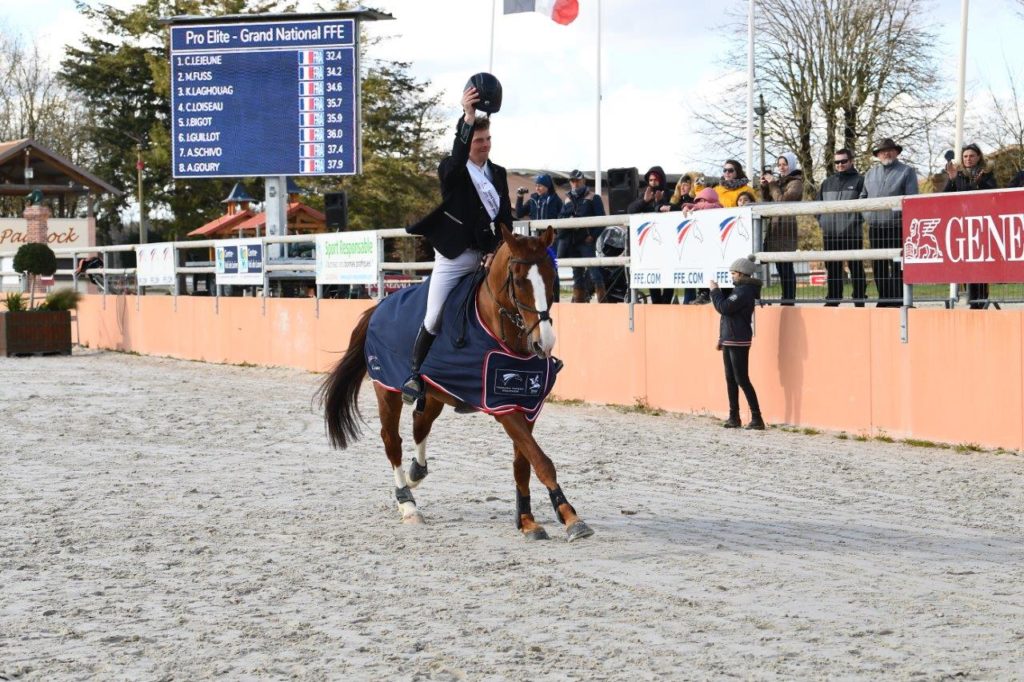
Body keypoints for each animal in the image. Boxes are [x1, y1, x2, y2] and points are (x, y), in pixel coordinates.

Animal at [319, 225, 593, 540]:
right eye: (518, 280)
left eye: (551, 276)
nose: (543, 343)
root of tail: (378, 308)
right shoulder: (503, 407)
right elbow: (540, 460)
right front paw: (570, 517)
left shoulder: (526, 406)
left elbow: (524, 463)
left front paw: (527, 521)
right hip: (386, 390)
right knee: (392, 440)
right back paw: (407, 504)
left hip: (436, 394)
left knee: (420, 425)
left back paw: (416, 474)